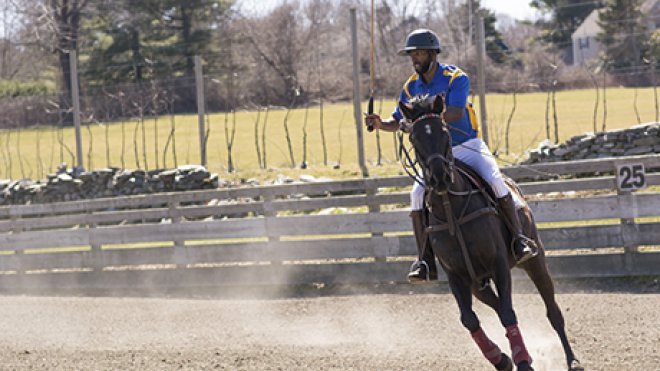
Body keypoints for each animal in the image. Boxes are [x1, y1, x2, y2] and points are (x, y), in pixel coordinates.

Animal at [398, 96, 584, 371]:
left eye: (444, 132)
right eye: (413, 137)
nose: (439, 178)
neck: (452, 210)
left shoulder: (498, 263)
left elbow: (508, 312)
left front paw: (522, 360)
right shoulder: (456, 275)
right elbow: (469, 319)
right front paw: (502, 359)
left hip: (535, 261)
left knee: (552, 312)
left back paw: (572, 360)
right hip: (477, 283)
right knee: (496, 306)